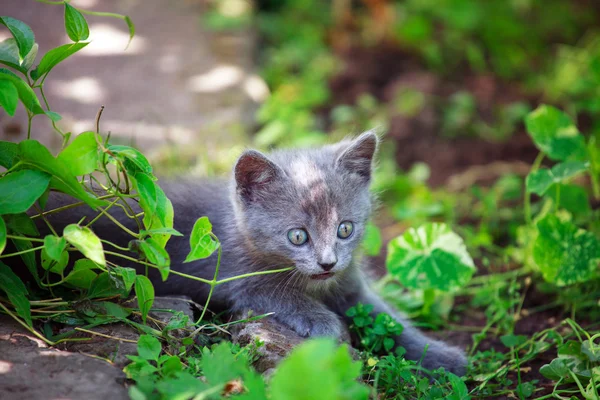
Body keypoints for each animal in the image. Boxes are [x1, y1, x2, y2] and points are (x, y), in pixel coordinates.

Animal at [44, 131, 472, 376]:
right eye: (298, 236)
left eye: (345, 229)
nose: (328, 262)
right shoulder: (236, 278)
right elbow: (279, 294)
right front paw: (326, 323)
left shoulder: (353, 287)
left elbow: (392, 322)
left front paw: (446, 358)